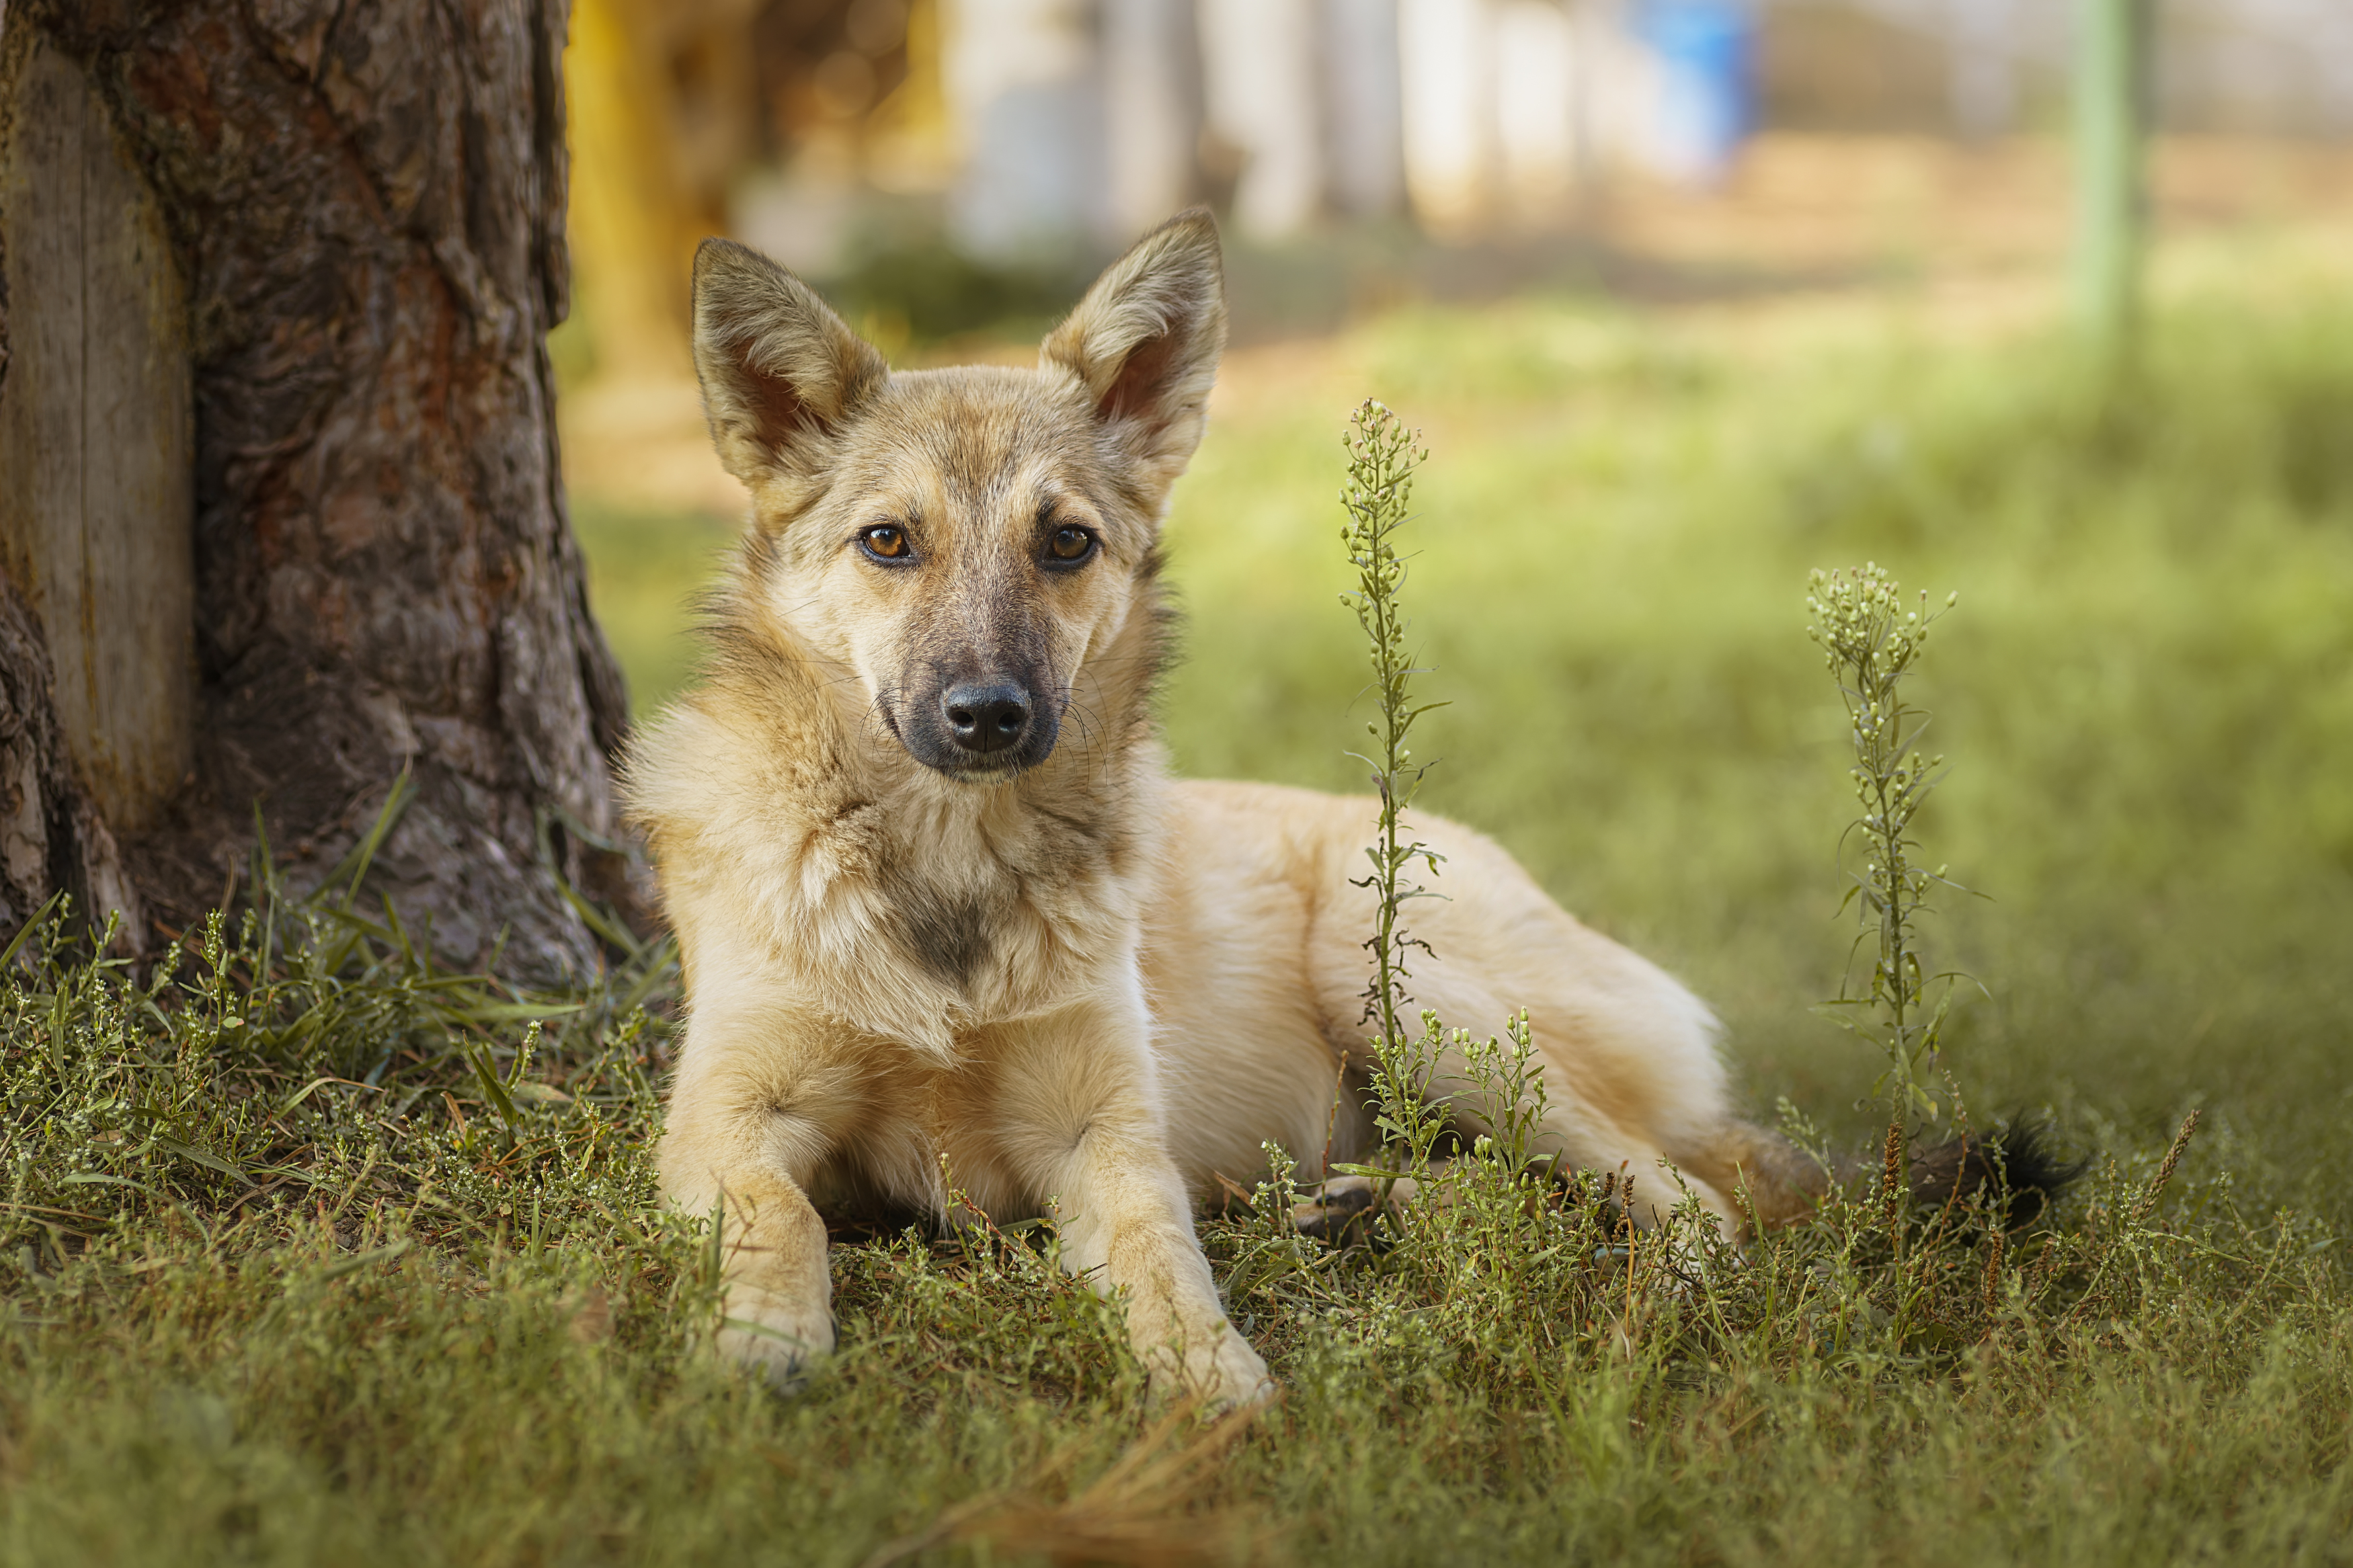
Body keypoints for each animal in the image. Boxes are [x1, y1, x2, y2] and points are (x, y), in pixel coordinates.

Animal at [626, 208, 2042, 1410]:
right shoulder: (726, 1120)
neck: (946, 877)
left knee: (1688, 1210)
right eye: (889, 542)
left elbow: (1161, 1252)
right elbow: (783, 1215)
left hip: (1399, 983)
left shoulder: (1102, 1133)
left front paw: (1207, 1373)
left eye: (1066, 543)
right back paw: (1370, 1212)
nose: (989, 715)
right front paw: (761, 1341)